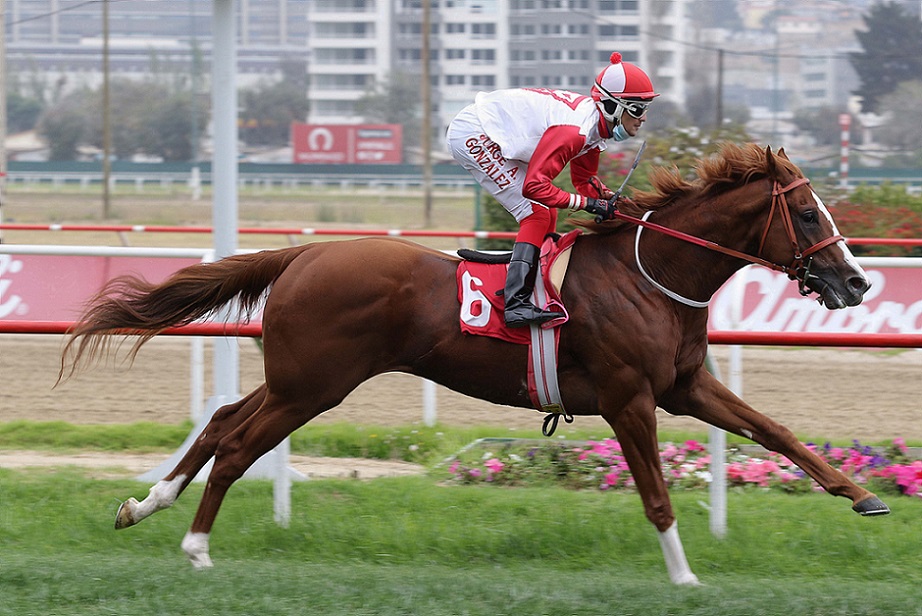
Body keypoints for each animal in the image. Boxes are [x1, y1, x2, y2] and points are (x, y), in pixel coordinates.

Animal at [61, 142, 889, 586]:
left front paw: (862, 495)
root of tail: (305, 252)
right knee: (235, 444)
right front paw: (685, 576)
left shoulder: (685, 387)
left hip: (296, 380)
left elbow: (776, 431)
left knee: (221, 421)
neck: (650, 274)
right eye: (807, 213)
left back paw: (145, 504)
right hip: (313, 385)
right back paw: (196, 547)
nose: (856, 283)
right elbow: (656, 494)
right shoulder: (628, 398)